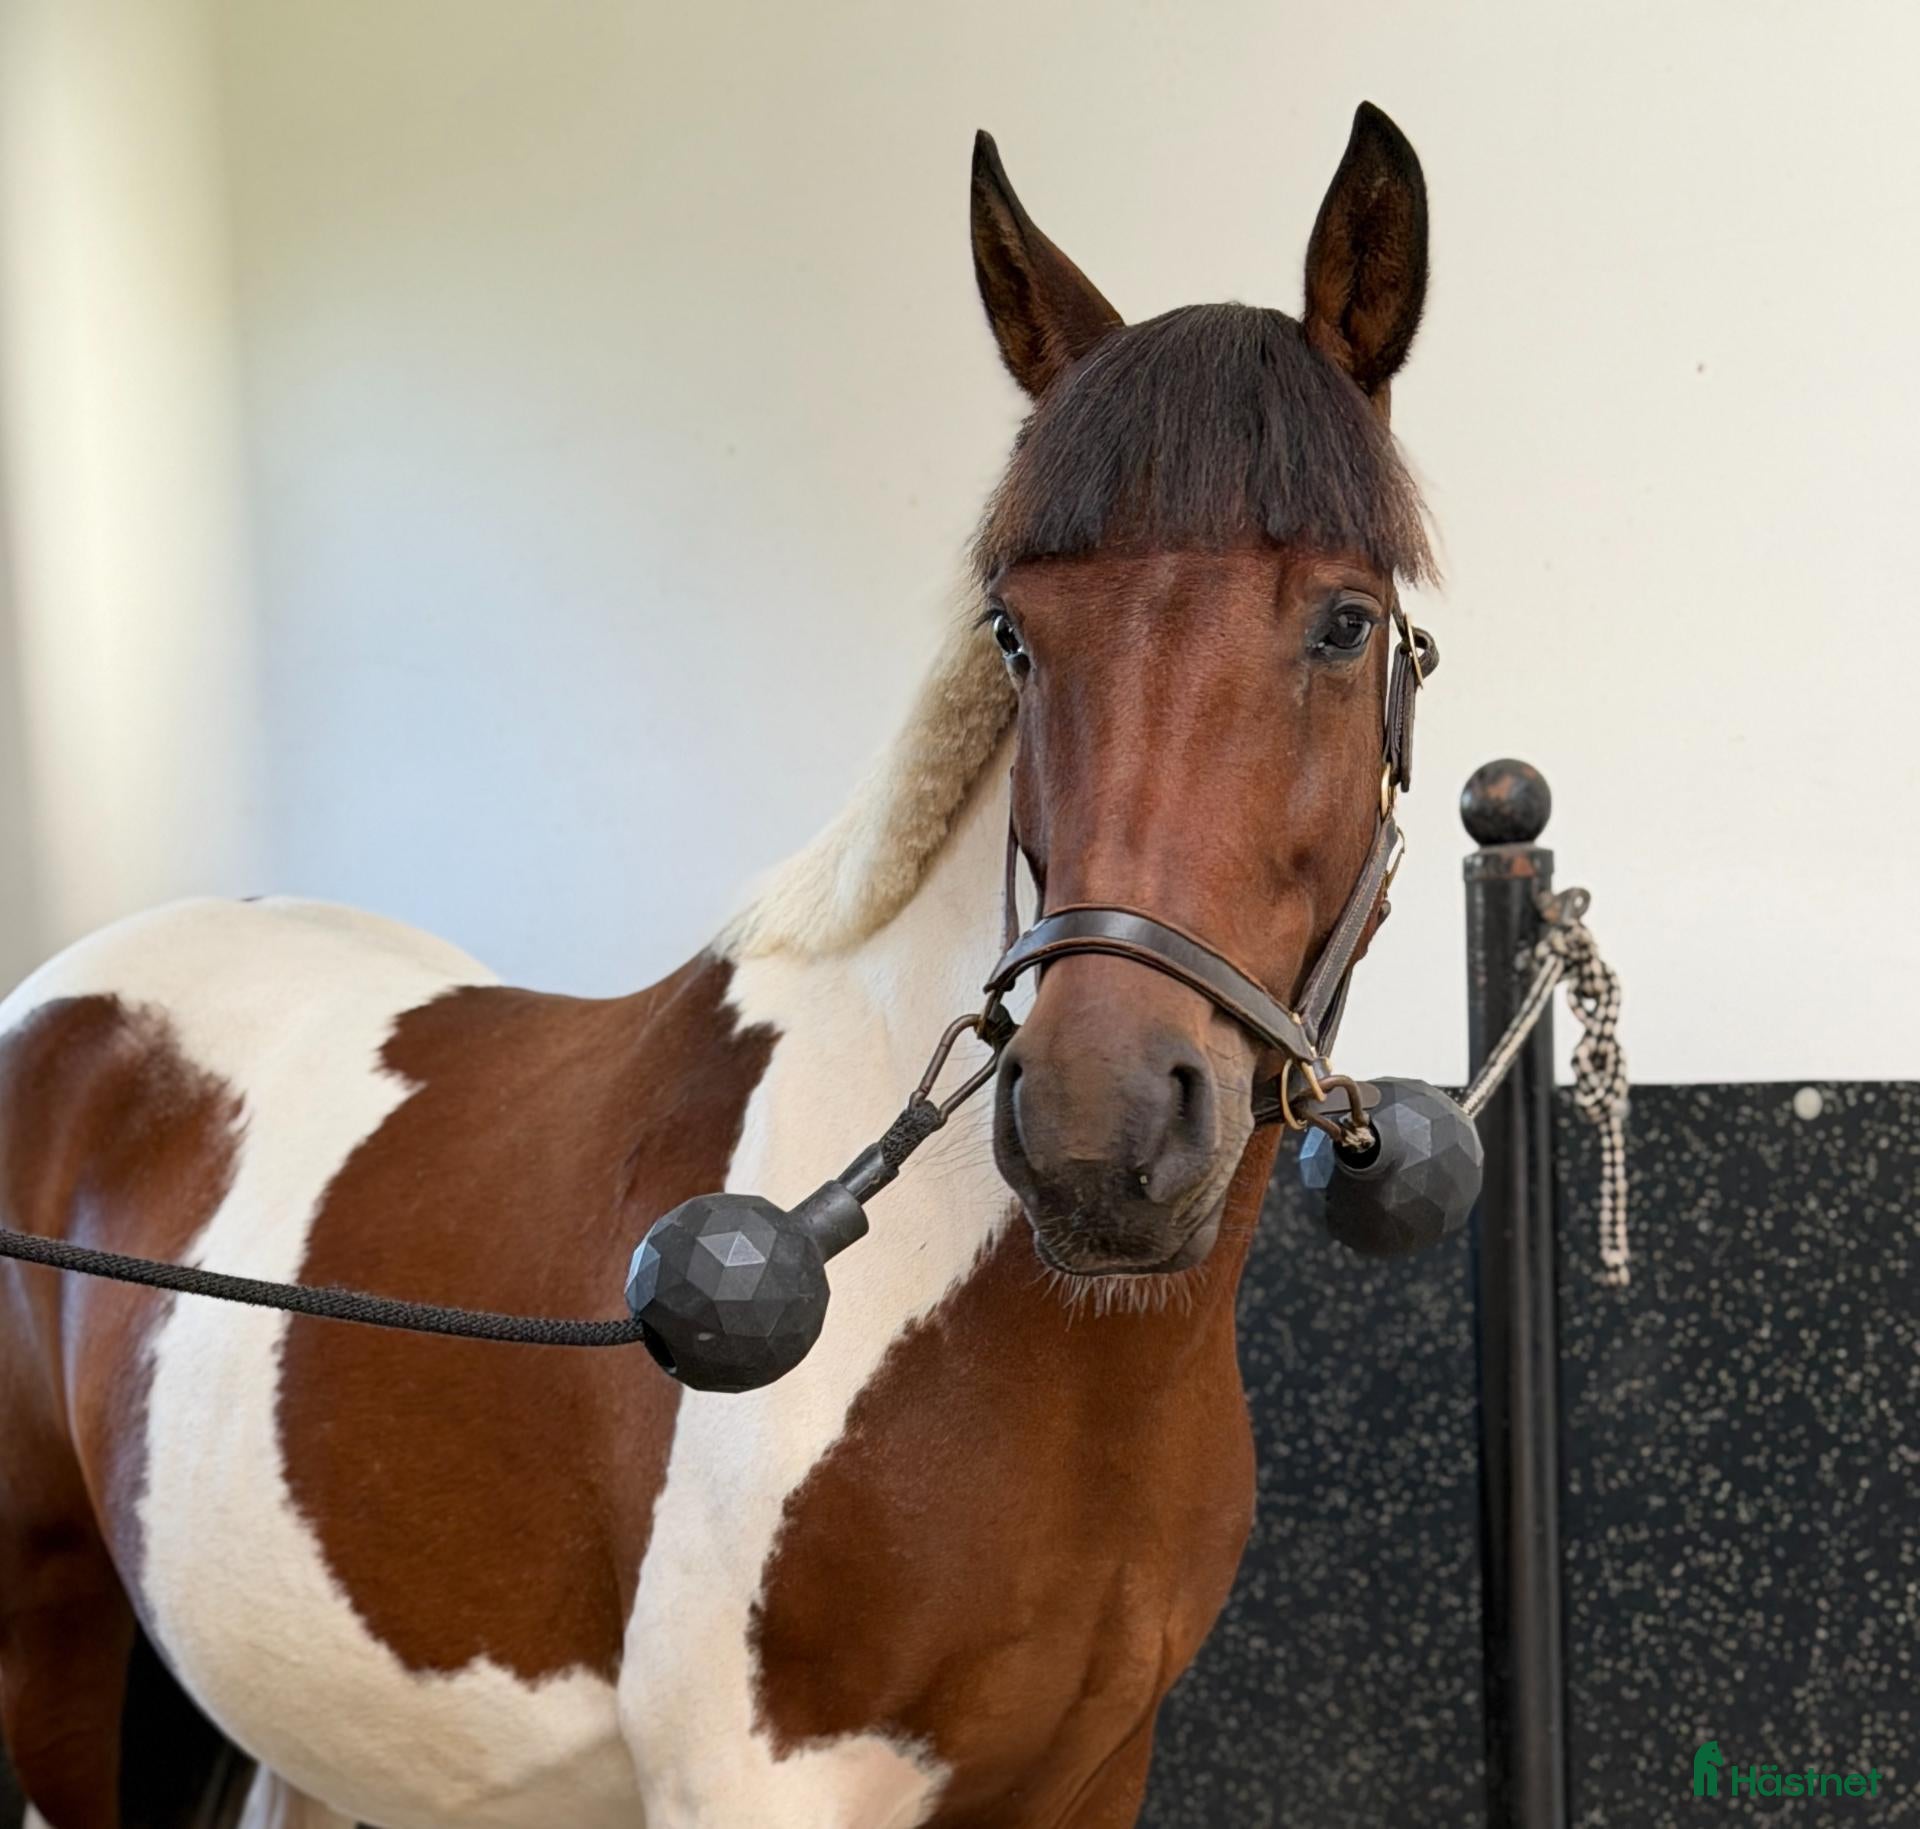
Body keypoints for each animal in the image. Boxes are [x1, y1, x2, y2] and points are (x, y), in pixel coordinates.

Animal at [0, 102, 1435, 1829]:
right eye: (1017, 635)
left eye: (1344, 622)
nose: (1100, 1133)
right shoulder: (760, 1783)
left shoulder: (1092, 1774)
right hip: (51, 1648)